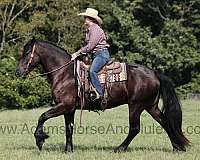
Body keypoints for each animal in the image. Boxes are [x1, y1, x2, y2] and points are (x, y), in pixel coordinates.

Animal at [15, 38, 189, 153]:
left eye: (27, 52)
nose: (18, 72)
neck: (65, 73)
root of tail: (154, 74)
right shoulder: (69, 109)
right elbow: (69, 128)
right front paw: (68, 150)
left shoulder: (64, 105)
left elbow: (42, 116)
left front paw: (40, 139)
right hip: (150, 106)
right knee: (165, 122)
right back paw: (176, 148)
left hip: (136, 106)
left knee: (135, 128)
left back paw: (119, 148)